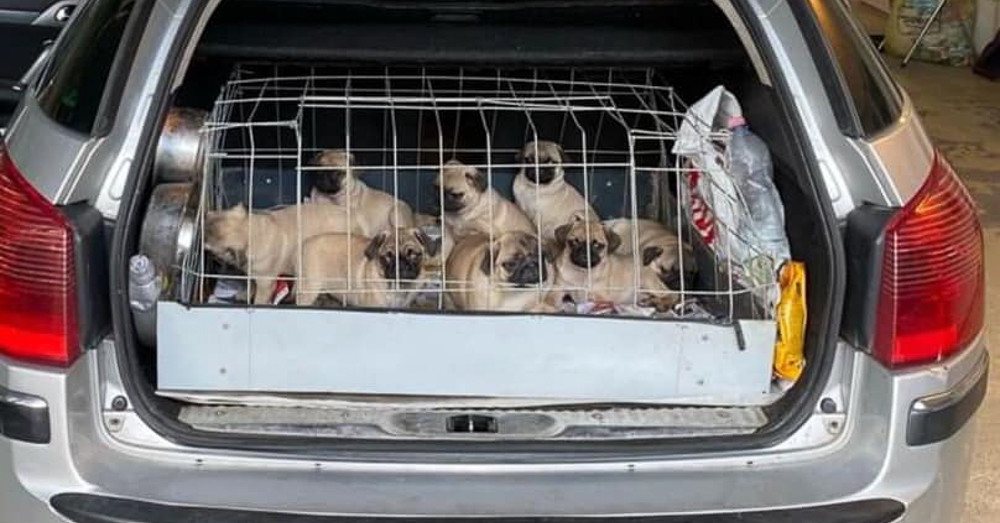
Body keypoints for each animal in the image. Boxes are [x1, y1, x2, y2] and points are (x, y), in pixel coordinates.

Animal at [204, 202, 357, 305]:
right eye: (218, 214)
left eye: (211, 249)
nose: (207, 215)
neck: (252, 231)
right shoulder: (254, 275)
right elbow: (252, 284)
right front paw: (245, 294)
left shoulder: (265, 283)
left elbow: (259, 297)